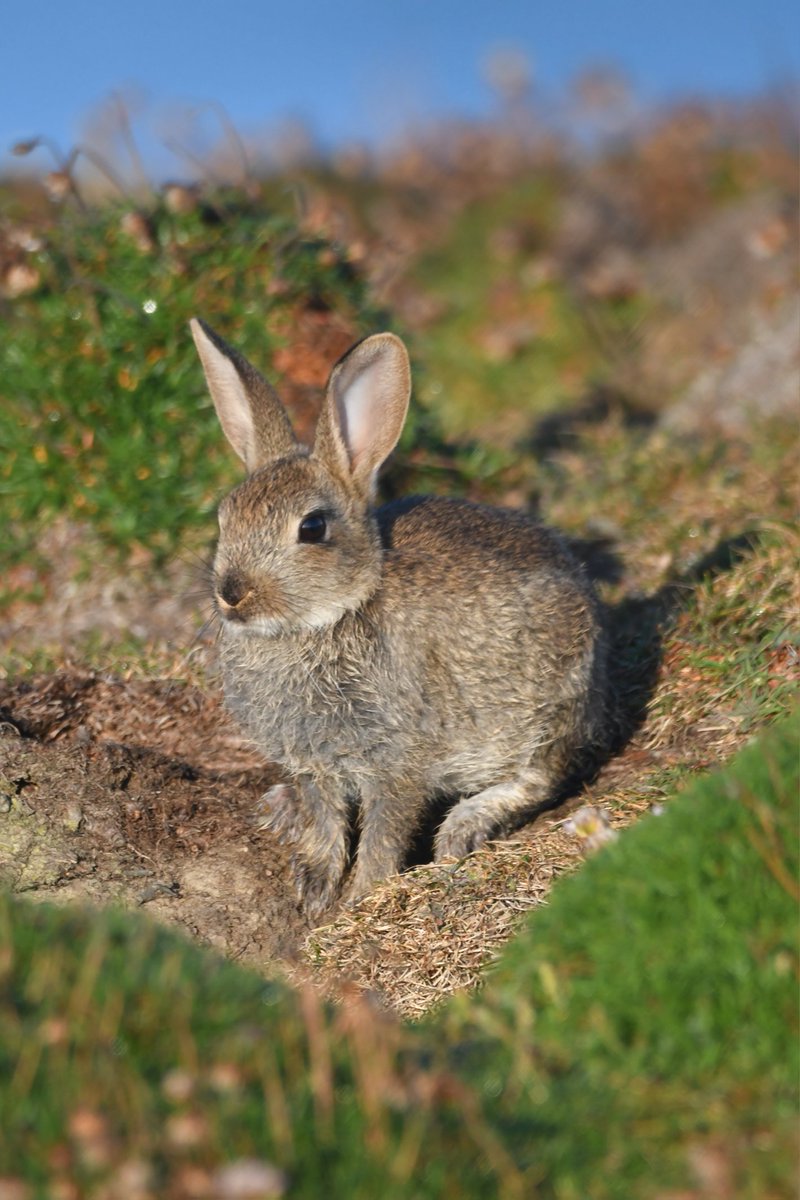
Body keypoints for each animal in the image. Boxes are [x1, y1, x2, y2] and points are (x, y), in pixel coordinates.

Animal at [190, 319, 609, 918]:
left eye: (312, 528)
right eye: (225, 517)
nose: (232, 593)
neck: (331, 617)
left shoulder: (399, 765)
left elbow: (384, 836)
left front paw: (359, 901)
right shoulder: (314, 766)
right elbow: (325, 825)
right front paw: (314, 891)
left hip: (550, 707)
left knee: (540, 777)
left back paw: (462, 829)